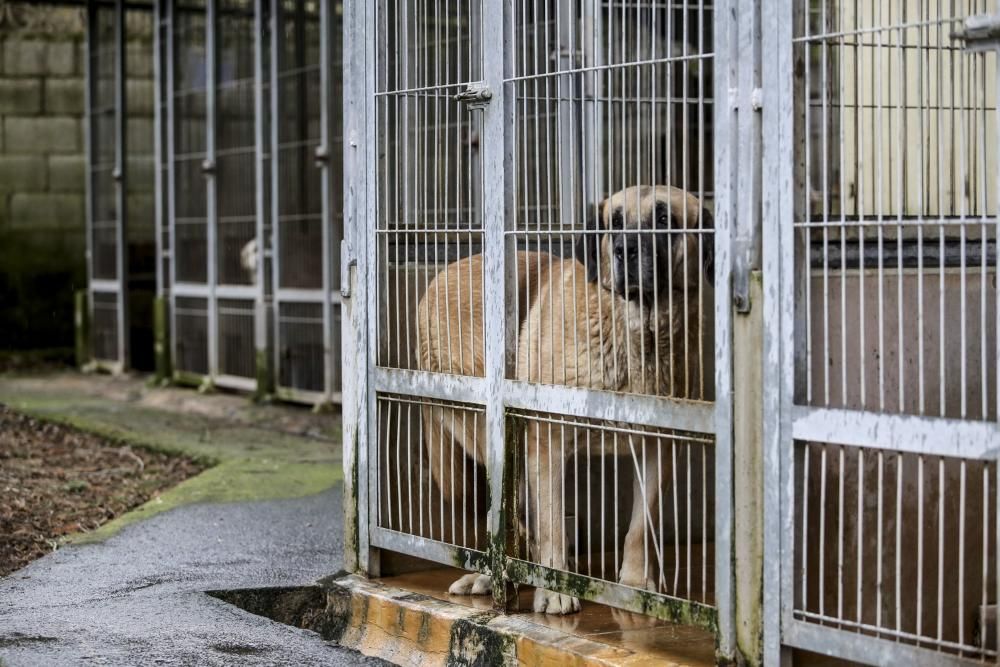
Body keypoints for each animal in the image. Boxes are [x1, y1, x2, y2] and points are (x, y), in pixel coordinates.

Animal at [414, 185, 712, 612]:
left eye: (664, 219)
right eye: (614, 222)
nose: (624, 249)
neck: (635, 335)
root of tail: (437, 279)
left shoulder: (660, 446)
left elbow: (641, 525)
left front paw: (635, 585)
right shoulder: (547, 443)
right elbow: (552, 524)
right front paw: (555, 589)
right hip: (490, 432)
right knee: (510, 520)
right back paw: (496, 576)